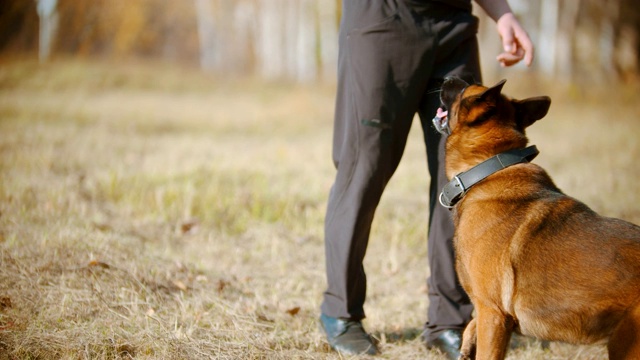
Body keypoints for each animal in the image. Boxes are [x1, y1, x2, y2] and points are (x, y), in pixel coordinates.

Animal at [432, 77, 640, 358]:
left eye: (465, 89)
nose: (446, 78)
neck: (487, 170)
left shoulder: (492, 313)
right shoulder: (491, 314)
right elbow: (472, 327)